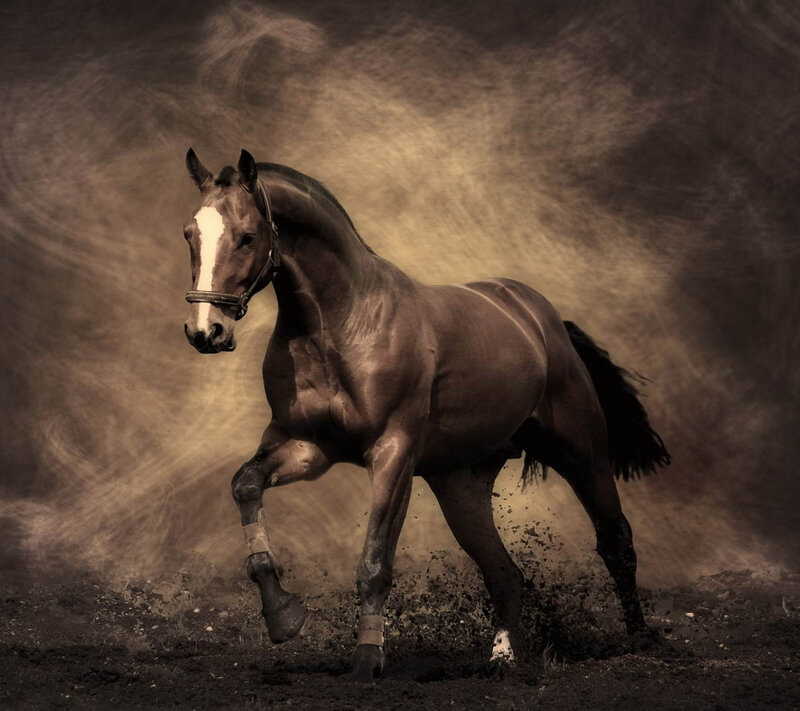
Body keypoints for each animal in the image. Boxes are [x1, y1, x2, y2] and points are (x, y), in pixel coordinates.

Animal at [180, 148, 670, 682]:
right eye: (190, 234)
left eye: (248, 236)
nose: (205, 331)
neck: (342, 325)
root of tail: (542, 320)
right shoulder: (306, 447)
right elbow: (245, 485)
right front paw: (283, 616)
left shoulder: (393, 455)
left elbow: (375, 563)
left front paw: (366, 661)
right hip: (460, 485)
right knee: (504, 572)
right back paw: (502, 658)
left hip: (581, 453)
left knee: (615, 541)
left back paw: (641, 640)